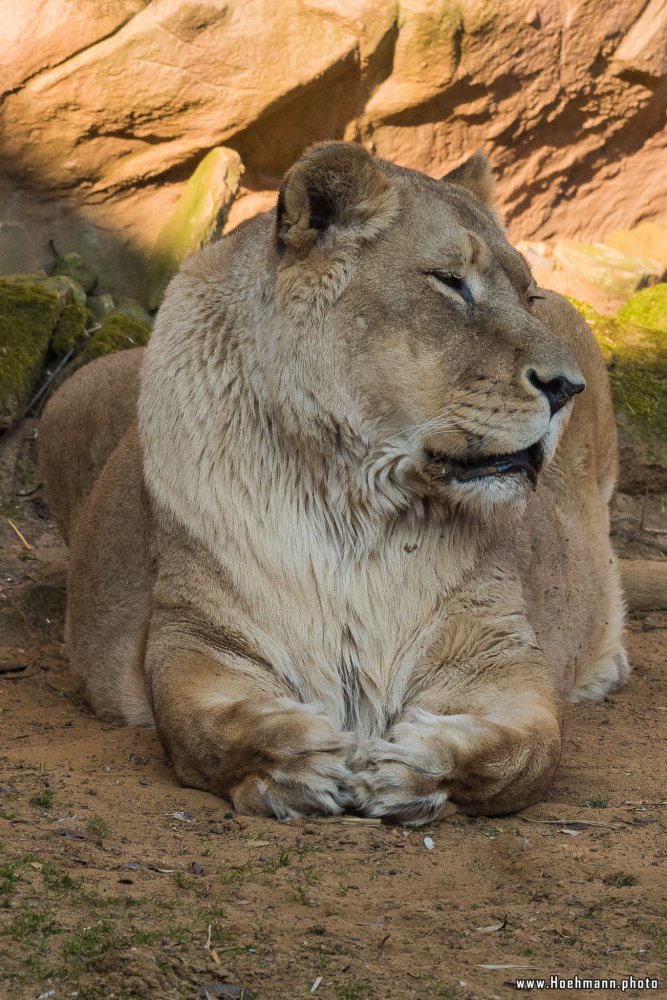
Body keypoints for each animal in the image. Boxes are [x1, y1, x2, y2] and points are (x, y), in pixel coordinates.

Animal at [39, 143, 636, 820]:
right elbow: (204, 731)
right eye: (451, 282)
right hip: (64, 402)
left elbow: (527, 755)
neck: (354, 505)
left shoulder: (500, 651)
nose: (567, 388)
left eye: (529, 296)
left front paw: (413, 770)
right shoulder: (196, 639)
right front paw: (297, 763)